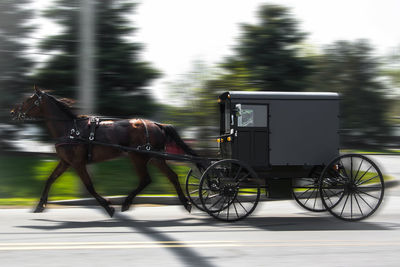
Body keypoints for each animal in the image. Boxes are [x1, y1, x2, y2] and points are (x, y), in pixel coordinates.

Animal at [9, 88, 197, 218]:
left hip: (138, 157)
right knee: (172, 176)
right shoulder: (66, 162)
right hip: (155, 157)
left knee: (146, 179)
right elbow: (50, 180)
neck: (71, 129)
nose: (13, 112)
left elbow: (89, 186)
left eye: (28, 100)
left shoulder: (77, 163)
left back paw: (126, 203)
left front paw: (108, 206)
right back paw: (185, 203)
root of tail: (158, 125)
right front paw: (39, 205)